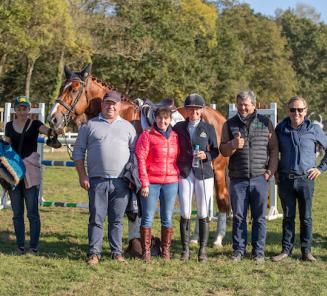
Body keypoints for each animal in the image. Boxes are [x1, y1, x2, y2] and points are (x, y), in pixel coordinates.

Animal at [48, 66, 231, 246]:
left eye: (74, 89)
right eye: (62, 88)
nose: (53, 119)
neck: (120, 116)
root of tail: (220, 117)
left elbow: (133, 211)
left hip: (217, 170)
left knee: (221, 199)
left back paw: (218, 239)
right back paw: (194, 237)